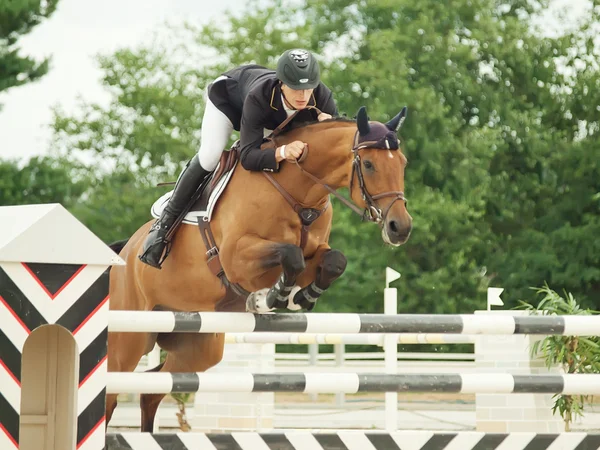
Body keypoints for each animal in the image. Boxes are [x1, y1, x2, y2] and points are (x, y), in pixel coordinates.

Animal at [104, 106, 412, 432]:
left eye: (402, 163)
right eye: (368, 164)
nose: (400, 228)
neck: (296, 193)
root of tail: (125, 253)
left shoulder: (314, 252)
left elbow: (333, 260)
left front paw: (301, 297)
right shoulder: (237, 259)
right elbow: (290, 255)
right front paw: (270, 298)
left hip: (196, 344)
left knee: (152, 389)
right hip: (129, 339)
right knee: (111, 393)